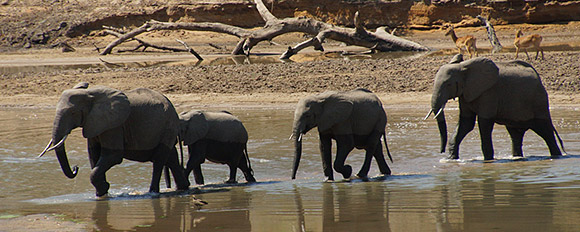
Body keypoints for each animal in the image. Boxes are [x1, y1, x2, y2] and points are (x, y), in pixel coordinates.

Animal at [38, 82, 190, 197]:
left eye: (73, 113)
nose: (76, 168)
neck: (90, 95)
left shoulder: (113, 125)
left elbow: (113, 155)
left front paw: (104, 188)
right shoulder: (94, 123)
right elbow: (93, 155)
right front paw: (101, 193)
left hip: (168, 126)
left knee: (159, 160)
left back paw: (153, 192)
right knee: (171, 157)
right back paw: (183, 188)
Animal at [426, 54, 568, 160]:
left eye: (448, 84)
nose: (441, 151)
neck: (463, 67)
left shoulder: (489, 92)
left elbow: (484, 123)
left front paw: (488, 160)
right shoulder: (466, 94)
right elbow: (466, 123)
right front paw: (450, 160)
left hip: (539, 101)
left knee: (545, 131)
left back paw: (557, 156)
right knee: (516, 135)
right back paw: (517, 157)